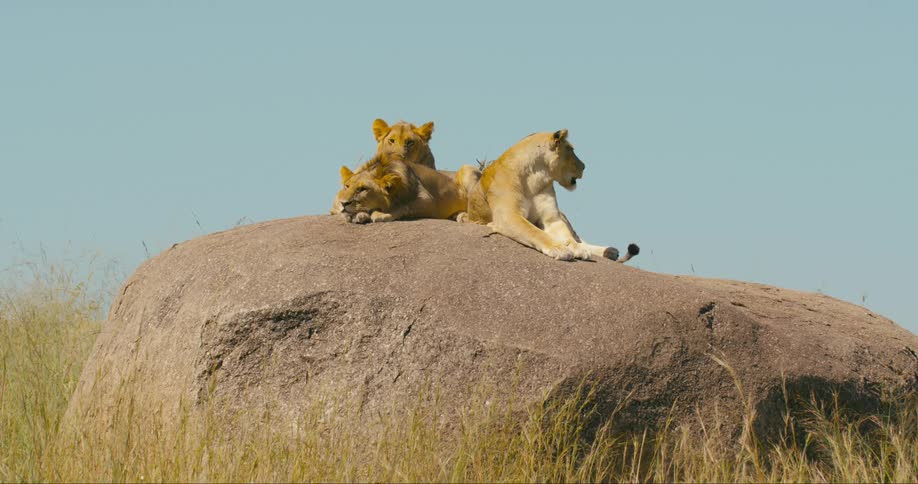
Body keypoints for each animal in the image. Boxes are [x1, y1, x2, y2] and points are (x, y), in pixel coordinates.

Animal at [335, 155, 479, 224]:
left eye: (362, 189)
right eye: (347, 186)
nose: (343, 203)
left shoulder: (428, 201)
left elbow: (402, 206)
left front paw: (380, 215)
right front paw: (360, 215)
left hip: (467, 169)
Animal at [463, 129, 639, 263]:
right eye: (571, 150)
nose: (584, 166)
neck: (535, 178)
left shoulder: (552, 218)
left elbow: (567, 236)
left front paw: (577, 249)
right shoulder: (508, 215)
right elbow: (534, 231)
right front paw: (558, 248)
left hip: (564, 215)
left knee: (578, 237)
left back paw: (609, 251)